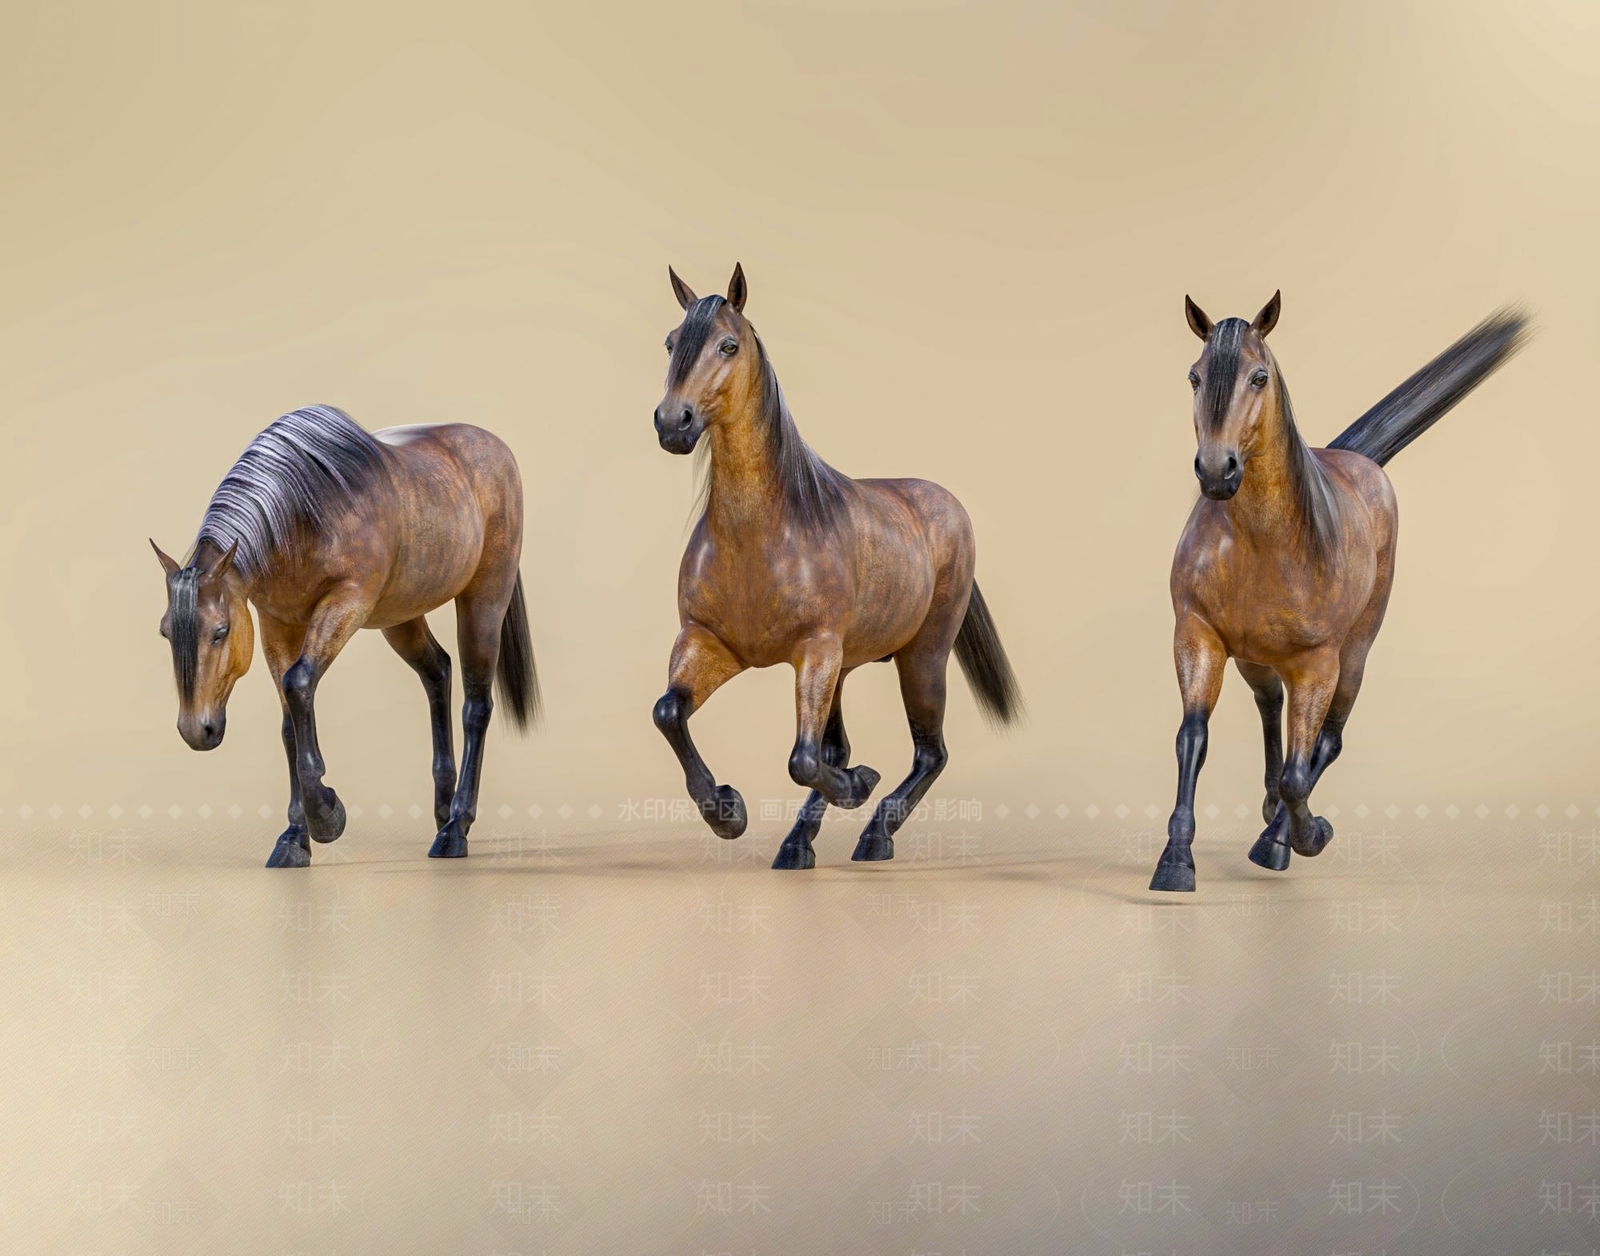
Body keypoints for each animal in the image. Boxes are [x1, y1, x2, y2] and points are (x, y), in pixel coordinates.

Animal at [151, 405, 539, 868]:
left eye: (220, 632)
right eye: (165, 632)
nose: (196, 730)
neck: (300, 518)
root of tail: (496, 448)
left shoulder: (347, 603)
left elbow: (298, 683)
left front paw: (325, 816)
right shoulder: (276, 624)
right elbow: (289, 723)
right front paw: (294, 838)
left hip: (483, 601)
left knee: (476, 706)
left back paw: (455, 829)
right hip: (400, 616)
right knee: (438, 671)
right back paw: (442, 809)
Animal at [649, 264, 1022, 869]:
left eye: (728, 345)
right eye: (670, 342)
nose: (671, 423)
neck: (761, 534)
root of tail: (947, 505)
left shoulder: (815, 650)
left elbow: (803, 759)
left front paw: (858, 784)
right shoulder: (709, 644)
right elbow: (668, 713)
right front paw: (726, 810)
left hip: (922, 657)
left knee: (929, 753)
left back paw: (874, 833)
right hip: (847, 667)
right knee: (845, 746)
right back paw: (799, 842)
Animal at [1150, 293, 1527, 892]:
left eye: (1259, 377)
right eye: (1194, 377)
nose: (1215, 472)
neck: (1264, 540)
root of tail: (1362, 461)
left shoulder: (1317, 664)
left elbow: (1299, 774)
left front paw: (1305, 838)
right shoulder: (1197, 635)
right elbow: (1193, 738)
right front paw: (1175, 860)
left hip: (1354, 653)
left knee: (1323, 743)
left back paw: (1278, 837)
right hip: (1253, 656)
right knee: (1270, 706)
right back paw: (1266, 812)